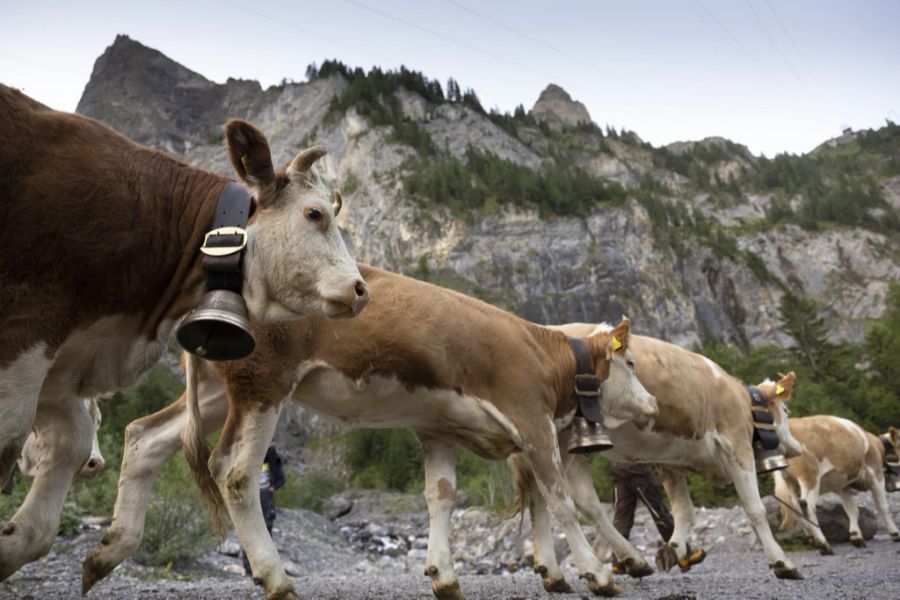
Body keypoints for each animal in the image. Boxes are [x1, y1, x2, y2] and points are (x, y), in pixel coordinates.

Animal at [82, 264, 652, 596]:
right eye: (630, 364)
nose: (650, 404)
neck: (547, 356)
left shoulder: (442, 430)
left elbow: (443, 496)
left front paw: (446, 574)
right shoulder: (531, 421)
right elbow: (561, 501)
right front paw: (597, 574)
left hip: (216, 392)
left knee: (145, 437)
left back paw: (107, 553)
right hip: (263, 383)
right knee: (235, 471)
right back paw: (275, 578)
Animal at [510, 324, 804, 584]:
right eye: (786, 411)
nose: (800, 448)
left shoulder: (671, 461)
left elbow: (683, 510)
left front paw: (674, 550)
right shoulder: (736, 443)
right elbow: (755, 509)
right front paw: (782, 563)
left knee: (568, 500)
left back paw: (570, 568)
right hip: (551, 439)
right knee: (556, 498)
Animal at [772, 418, 900, 552]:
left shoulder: (844, 486)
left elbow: (852, 510)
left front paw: (856, 536)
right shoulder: (876, 475)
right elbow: (883, 506)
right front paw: (895, 534)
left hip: (789, 481)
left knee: (795, 507)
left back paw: (812, 539)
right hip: (810, 477)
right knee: (807, 506)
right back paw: (823, 543)